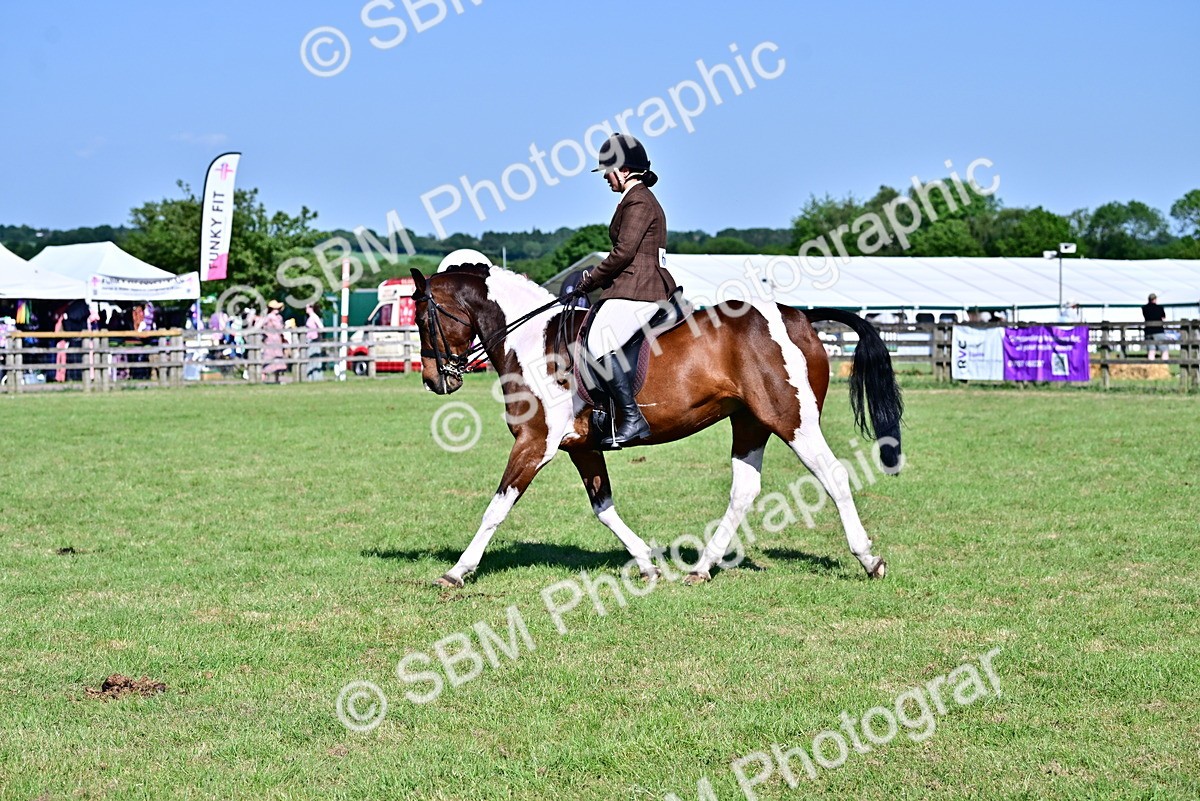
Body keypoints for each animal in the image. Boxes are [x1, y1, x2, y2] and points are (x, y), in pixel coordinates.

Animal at [410, 264, 903, 588]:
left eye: (420, 319)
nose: (434, 380)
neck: (533, 342)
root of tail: (799, 314)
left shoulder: (535, 443)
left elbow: (496, 508)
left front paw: (456, 571)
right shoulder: (581, 446)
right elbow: (603, 507)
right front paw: (647, 563)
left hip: (793, 420)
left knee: (833, 475)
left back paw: (868, 558)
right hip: (749, 422)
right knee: (744, 489)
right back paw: (702, 567)